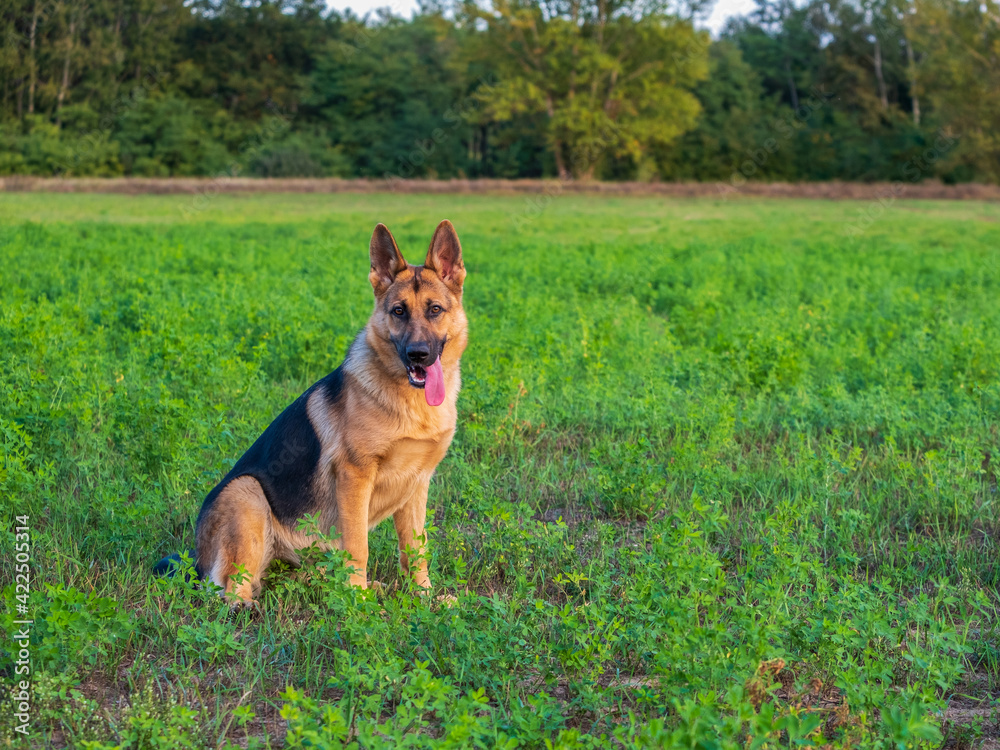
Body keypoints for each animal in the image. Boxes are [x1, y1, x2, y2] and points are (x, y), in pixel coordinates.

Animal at [154, 222, 466, 604]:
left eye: (435, 309)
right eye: (398, 312)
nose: (417, 355)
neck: (410, 401)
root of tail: (197, 558)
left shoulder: (417, 483)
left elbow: (415, 549)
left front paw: (423, 597)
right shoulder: (354, 477)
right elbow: (359, 547)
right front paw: (359, 605)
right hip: (247, 493)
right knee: (228, 589)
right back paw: (250, 607)